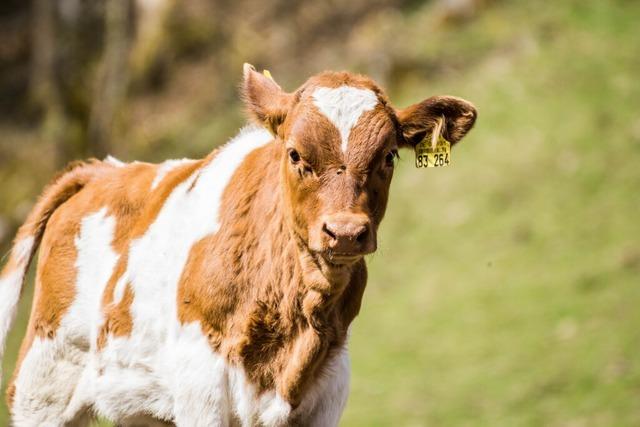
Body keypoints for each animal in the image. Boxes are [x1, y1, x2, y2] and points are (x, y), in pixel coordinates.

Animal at [0, 64, 472, 427]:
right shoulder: (201, 389)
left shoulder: (329, 391)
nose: (344, 232)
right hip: (43, 385)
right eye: (295, 154)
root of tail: (101, 170)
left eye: (389, 156)